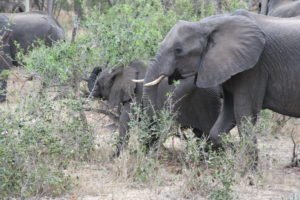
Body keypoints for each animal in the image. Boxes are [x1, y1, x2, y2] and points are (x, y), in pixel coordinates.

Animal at [88, 60, 221, 155]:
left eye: (99, 83)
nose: (98, 67)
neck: (125, 69)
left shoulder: (137, 96)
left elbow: (125, 121)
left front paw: (116, 157)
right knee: (200, 133)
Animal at [144, 10, 300, 149]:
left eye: (178, 50)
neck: (208, 24)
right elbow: (224, 120)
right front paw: (231, 148)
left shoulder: (254, 67)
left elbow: (244, 114)